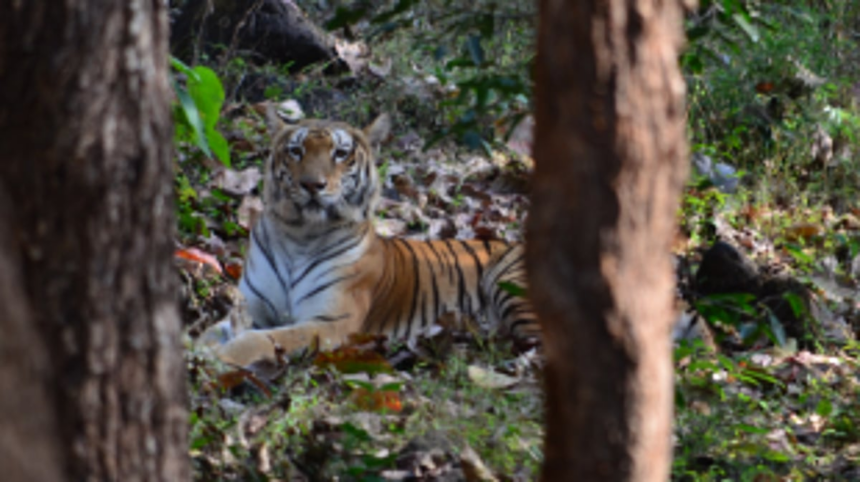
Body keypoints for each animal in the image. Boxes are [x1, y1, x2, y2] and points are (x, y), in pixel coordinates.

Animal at [215, 107, 537, 367]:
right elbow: (216, 329)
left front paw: (222, 357)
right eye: (296, 151)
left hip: (511, 284)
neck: (300, 235)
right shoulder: (251, 306)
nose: (312, 184)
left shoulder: (329, 322)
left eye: (340, 153)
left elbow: (262, 339)